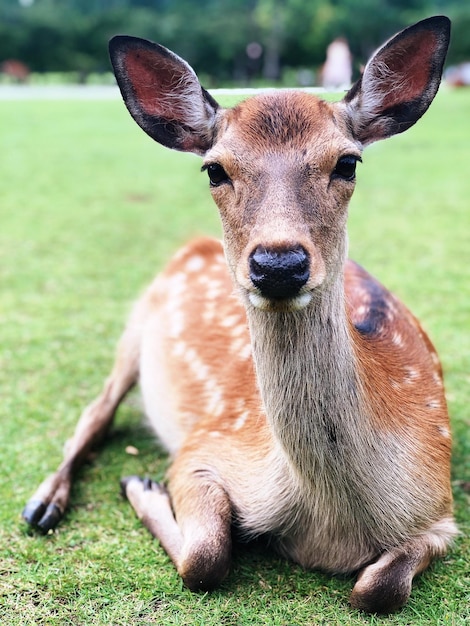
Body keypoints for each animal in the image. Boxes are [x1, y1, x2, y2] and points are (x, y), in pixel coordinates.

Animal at [21, 17, 456, 612]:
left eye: (348, 162)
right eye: (214, 170)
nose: (279, 263)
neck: (330, 524)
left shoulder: (441, 506)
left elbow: (378, 588)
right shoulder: (204, 446)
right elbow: (205, 558)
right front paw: (143, 486)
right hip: (134, 327)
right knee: (96, 411)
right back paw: (43, 504)